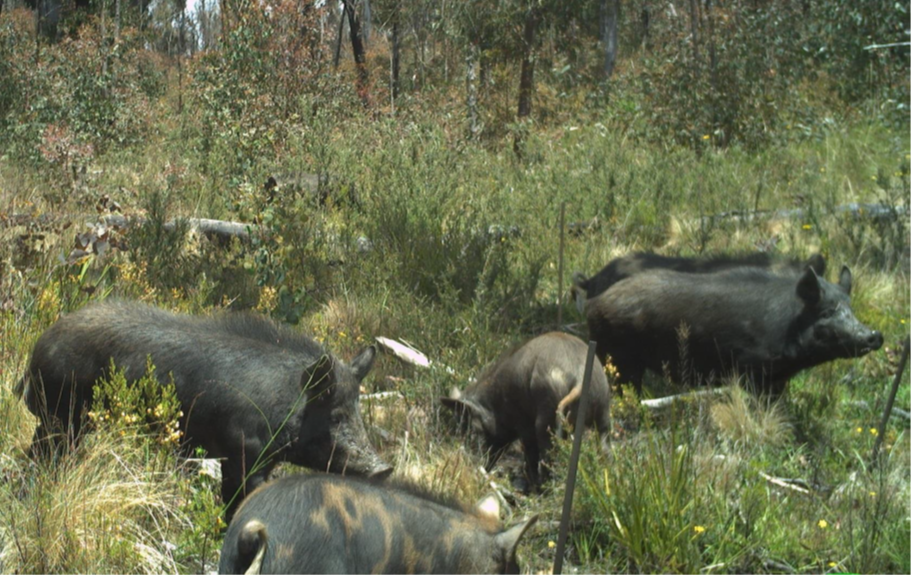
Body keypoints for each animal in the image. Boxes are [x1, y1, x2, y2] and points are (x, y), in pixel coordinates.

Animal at [16, 299, 392, 517]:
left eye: (358, 411)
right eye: (334, 415)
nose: (383, 469)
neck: (285, 402)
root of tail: (39, 347)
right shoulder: (242, 452)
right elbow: (236, 502)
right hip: (62, 415)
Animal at [441, 332, 611, 488]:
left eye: (471, 428)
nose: (472, 467)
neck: (497, 400)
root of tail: (580, 376)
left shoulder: (523, 422)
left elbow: (530, 452)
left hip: (546, 418)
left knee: (547, 455)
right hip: (603, 411)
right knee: (604, 447)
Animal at [584, 265, 883, 396]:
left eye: (851, 308)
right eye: (826, 312)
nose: (874, 335)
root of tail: (593, 302)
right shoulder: (749, 367)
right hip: (619, 356)